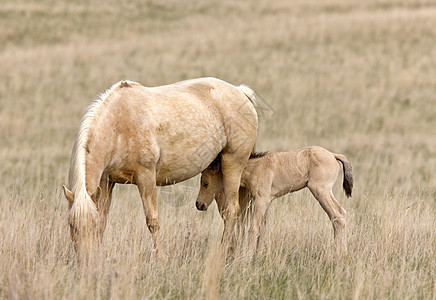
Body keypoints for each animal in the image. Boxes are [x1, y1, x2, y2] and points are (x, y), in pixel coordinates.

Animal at [63, 78, 258, 258]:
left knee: (232, 210)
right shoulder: (106, 182)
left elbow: (152, 221)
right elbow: (104, 218)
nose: (85, 259)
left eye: (92, 224)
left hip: (233, 164)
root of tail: (241, 92)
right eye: (71, 225)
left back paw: (223, 252)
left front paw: (161, 257)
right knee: (226, 211)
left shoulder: (146, 177)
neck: (118, 125)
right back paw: (230, 250)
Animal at [196, 146, 352, 254]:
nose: (199, 204)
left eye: (205, 183)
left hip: (321, 191)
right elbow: (262, 229)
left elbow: (253, 228)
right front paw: (258, 256)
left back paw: (340, 254)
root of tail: (333, 155)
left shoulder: (261, 200)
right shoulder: (268, 202)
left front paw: (246, 258)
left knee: (338, 215)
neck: (256, 168)